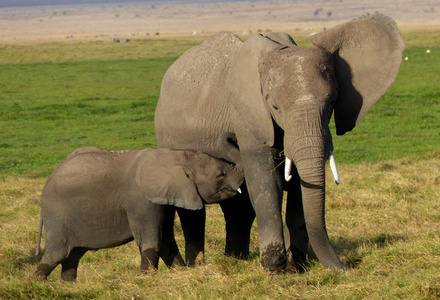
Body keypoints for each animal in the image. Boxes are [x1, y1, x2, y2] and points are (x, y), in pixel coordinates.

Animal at [32, 145, 242, 282]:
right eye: (221, 174)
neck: (175, 156)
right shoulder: (142, 201)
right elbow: (151, 241)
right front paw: (148, 278)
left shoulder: (163, 199)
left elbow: (166, 241)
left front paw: (180, 273)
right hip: (57, 216)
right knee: (56, 254)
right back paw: (37, 283)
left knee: (73, 255)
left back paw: (68, 284)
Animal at [155, 14, 406, 274]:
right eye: (275, 107)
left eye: (332, 102)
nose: (346, 268)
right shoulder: (249, 115)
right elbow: (266, 182)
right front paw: (275, 269)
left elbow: (298, 188)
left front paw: (297, 266)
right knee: (193, 209)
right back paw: (196, 265)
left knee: (239, 208)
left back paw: (236, 259)